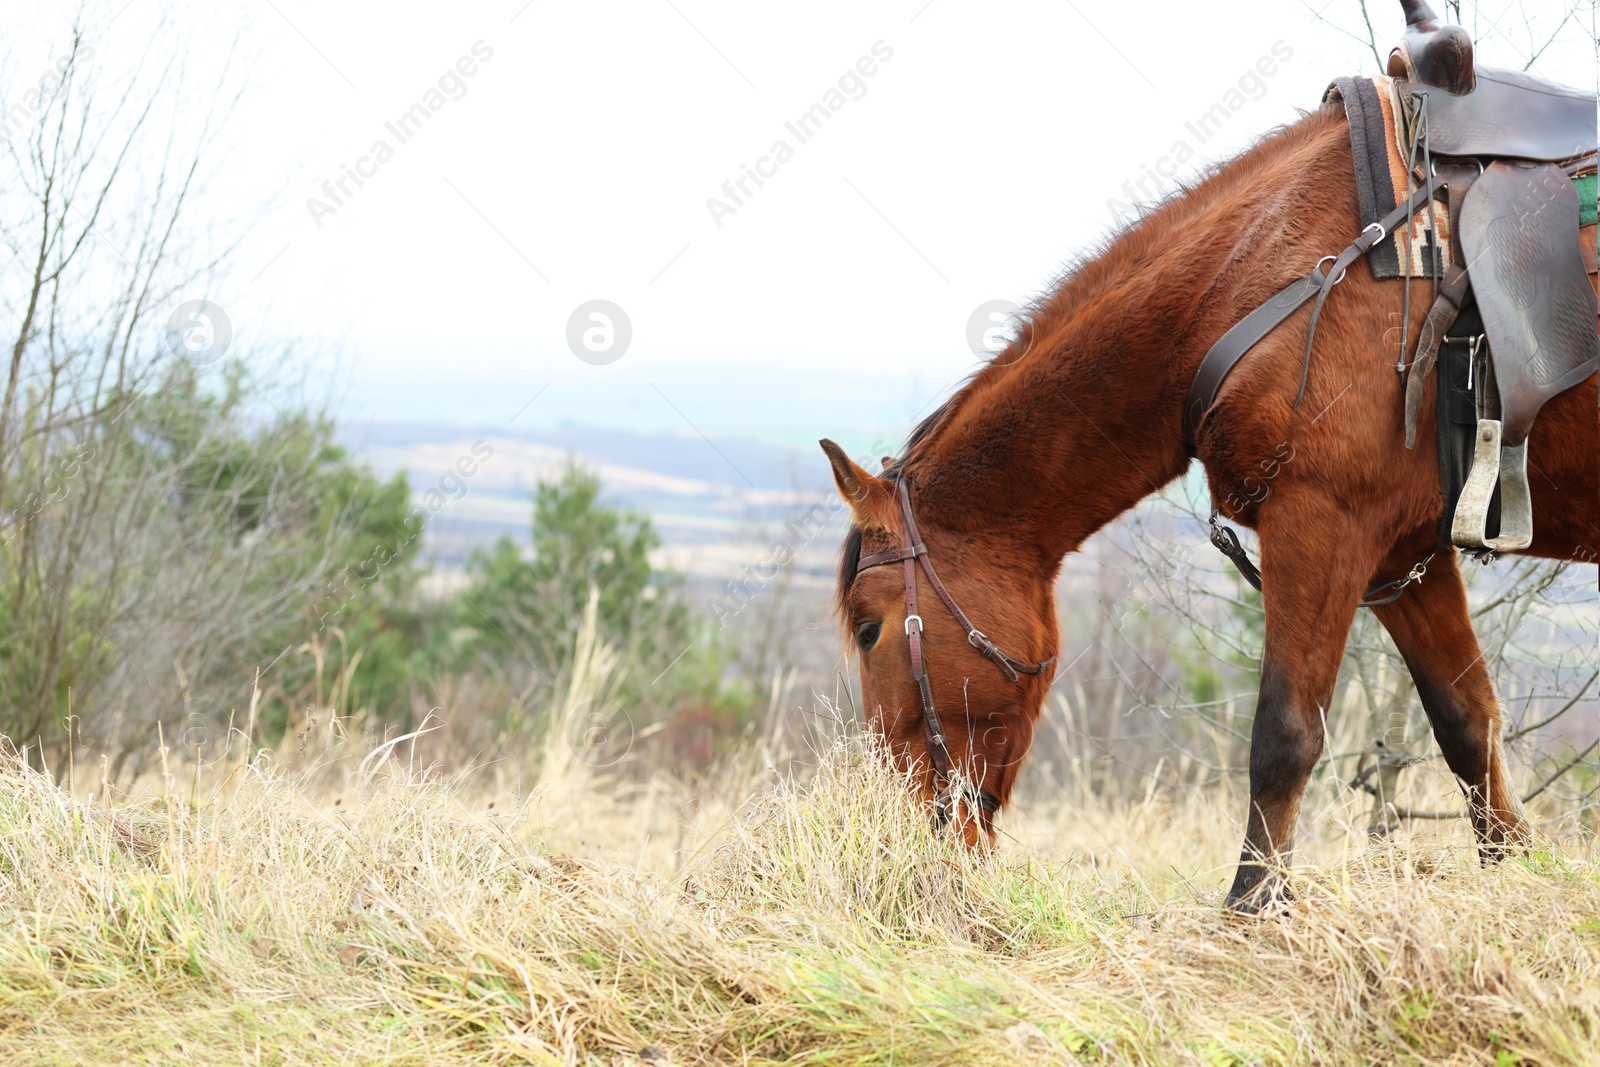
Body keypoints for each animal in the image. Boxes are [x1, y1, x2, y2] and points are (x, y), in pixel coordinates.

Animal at [825, 102, 1600, 908]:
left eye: (870, 629)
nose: (899, 827)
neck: (1259, 273)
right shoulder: (1404, 556)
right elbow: (1467, 721)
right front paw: (1511, 875)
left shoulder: (1321, 524)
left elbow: (1284, 735)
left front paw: (1251, 904)